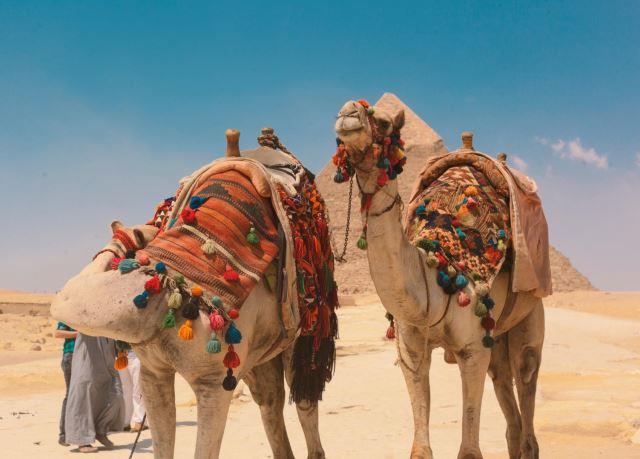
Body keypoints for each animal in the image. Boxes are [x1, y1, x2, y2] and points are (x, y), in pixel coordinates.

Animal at [52, 135, 328, 458]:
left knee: (304, 395)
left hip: (304, 330)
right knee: (269, 398)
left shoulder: (214, 381)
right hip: (260, 350)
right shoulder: (153, 372)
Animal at [336, 101, 544, 459]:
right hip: (497, 337)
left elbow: (470, 451)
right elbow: (420, 448)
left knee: (526, 373)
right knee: (506, 391)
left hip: (530, 313)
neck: (437, 272)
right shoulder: (410, 347)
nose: (348, 114)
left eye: (384, 122)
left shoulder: (473, 349)